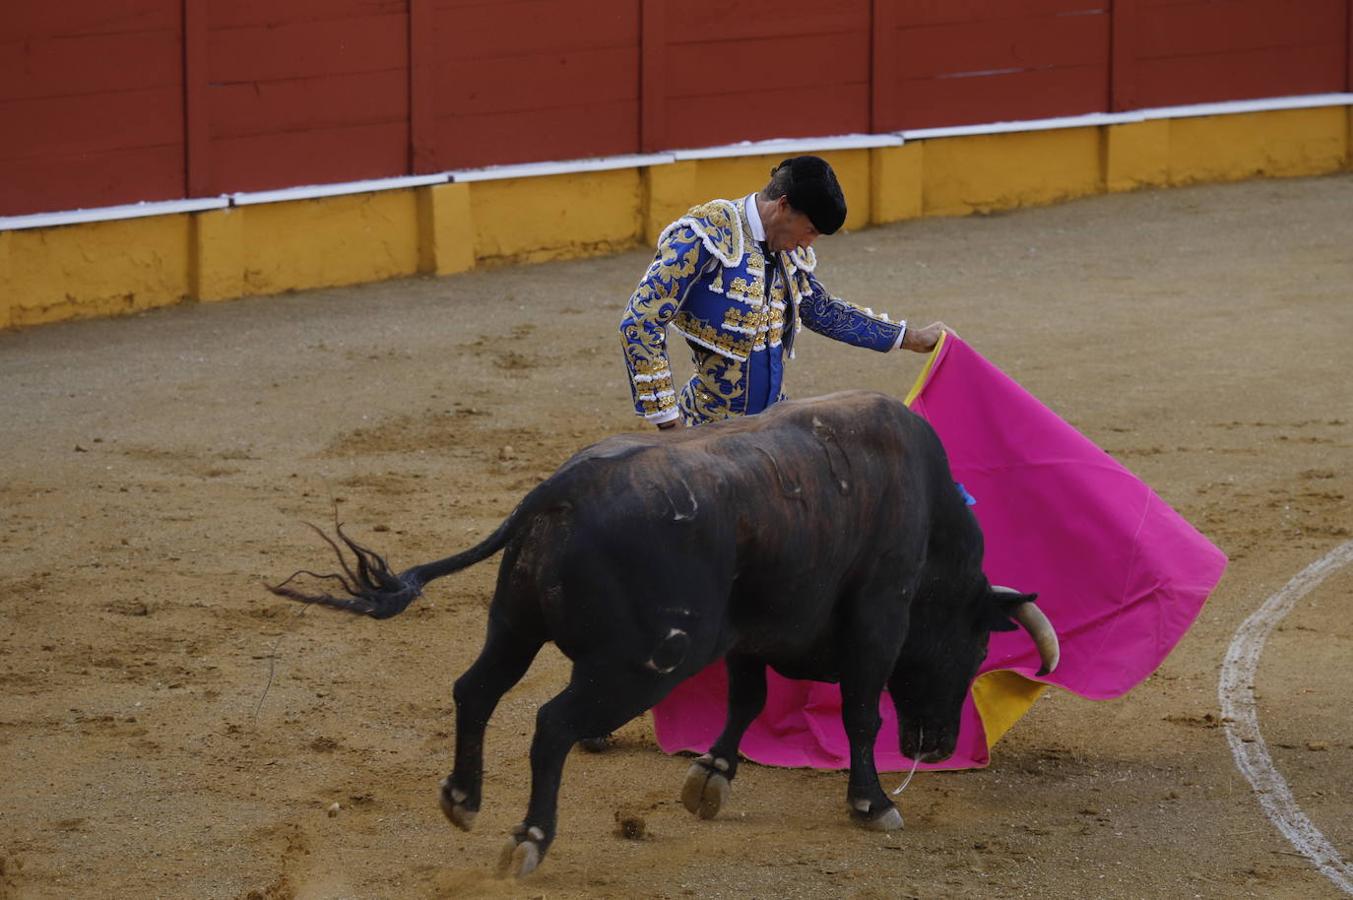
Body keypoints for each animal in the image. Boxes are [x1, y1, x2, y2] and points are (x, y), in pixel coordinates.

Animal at [271, 389, 1055, 871]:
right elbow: (861, 712)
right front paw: (874, 803)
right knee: (552, 725)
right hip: (643, 664)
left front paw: (710, 778)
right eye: (978, 645)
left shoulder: (749, 635)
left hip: (514, 625)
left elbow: (746, 700)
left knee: (476, 690)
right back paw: (529, 838)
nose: (939, 745)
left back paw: (463, 801)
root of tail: (558, 491)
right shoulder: (877, 619)